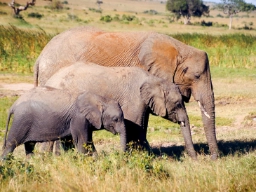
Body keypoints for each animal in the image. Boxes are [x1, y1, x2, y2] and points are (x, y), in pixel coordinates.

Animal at [45, 62, 198, 160]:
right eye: (178, 104)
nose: (195, 159)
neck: (155, 80)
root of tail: (49, 80)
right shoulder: (135, 100)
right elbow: (137, 128)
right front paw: (149, 157)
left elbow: (141, 127)